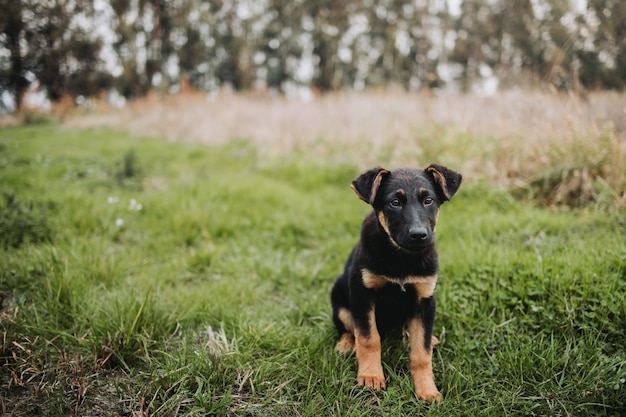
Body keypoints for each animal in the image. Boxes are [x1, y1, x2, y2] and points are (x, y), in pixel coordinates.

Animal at [332, 164, 458, 402]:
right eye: (395, 202)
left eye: (429, 200)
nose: (419, 235)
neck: (402, 257)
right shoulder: (362, 293)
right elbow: (368, 338)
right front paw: (371, 376)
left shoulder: (425, 300)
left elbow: (421, 353)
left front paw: (427, 389)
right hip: (339, 297)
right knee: (347, 327)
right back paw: (346, 343)